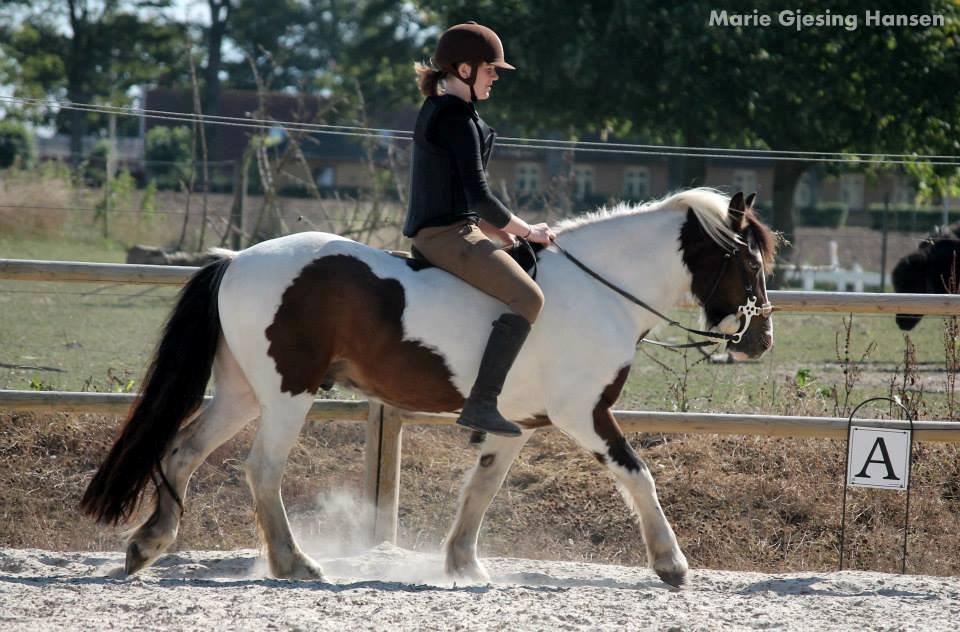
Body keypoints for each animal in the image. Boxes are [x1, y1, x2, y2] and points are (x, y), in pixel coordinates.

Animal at [79, 188, 776, 588]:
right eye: (749, 261)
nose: (760, 342)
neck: (601, 289)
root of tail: (235, 260)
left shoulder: (517, 425)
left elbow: (481, 491)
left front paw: (464, 566)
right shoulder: (584, 414)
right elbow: (638, 476)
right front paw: (671, 565)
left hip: (243, 391)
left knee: (183, 452)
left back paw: (148, 545)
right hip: (285, 394)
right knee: (261, 470)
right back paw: (295, 564)